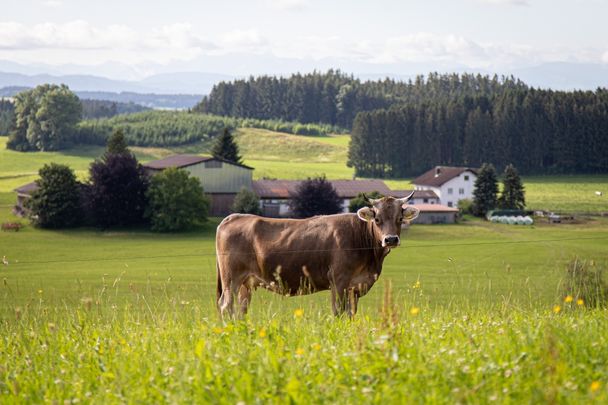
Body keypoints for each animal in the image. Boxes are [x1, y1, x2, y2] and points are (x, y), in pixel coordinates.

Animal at [216, 194, 420, 318]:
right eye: (377, 219)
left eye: (399, 219)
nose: (390, 239)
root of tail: (234, 217)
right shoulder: (339, 281)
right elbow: (339, 312)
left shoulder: (355, 287)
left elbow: (351, 314)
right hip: (231, 278)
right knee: (226, 305)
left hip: (247, 283)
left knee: (241, 309)